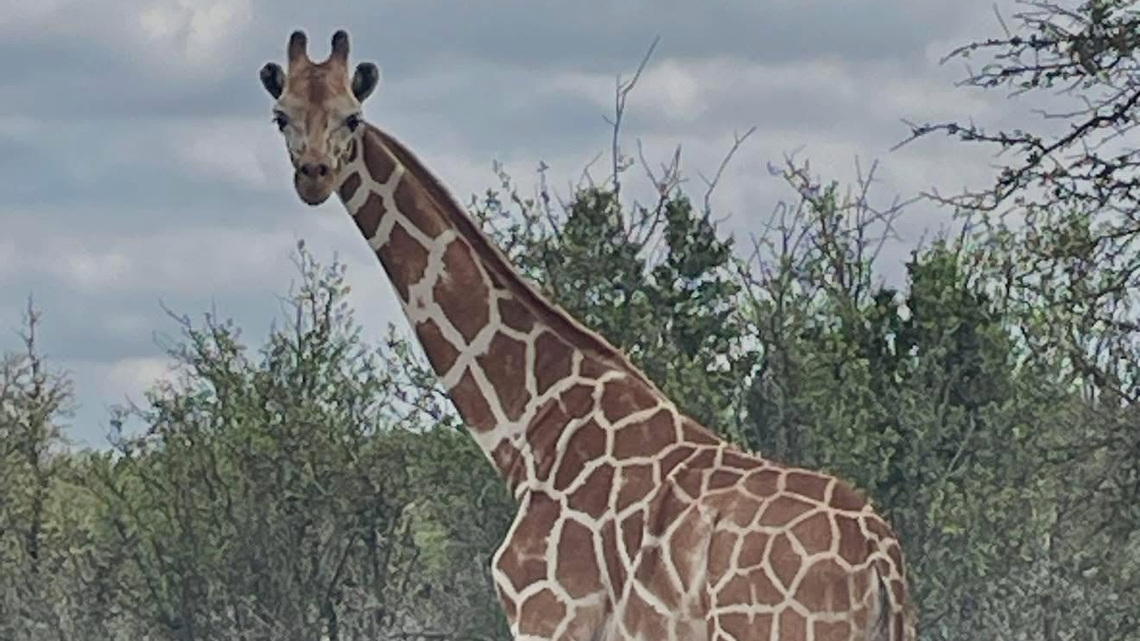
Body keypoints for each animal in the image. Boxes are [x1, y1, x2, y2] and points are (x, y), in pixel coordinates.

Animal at [259, 30, 917, 641]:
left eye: (352, 116)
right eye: (281, 115)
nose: (314, 175)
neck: (529, 430)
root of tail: (881, 557)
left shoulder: (547, 615)